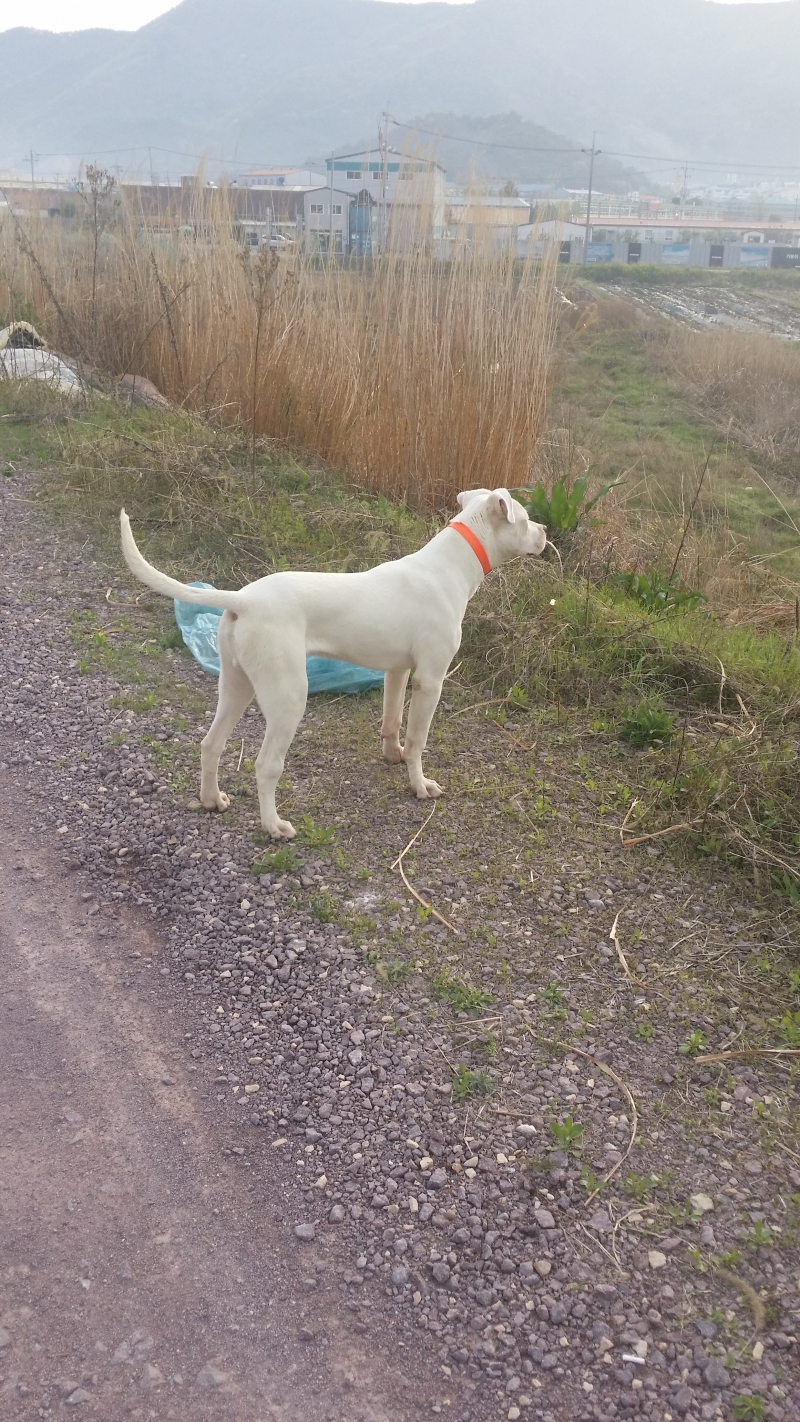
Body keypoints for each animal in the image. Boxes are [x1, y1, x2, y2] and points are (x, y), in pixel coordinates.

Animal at [120, 488, 546, 838]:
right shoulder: (431, 679)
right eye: (525, 519)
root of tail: (243, 599)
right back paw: (273, 825)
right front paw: (419, 784)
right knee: (266, 764)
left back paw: (212, 800)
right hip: (289, 697)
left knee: (211, 743)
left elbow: (392, 721)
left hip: (236, 685)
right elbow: (418, 739)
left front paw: (393, 755)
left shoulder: (397, 671)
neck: (451, 564)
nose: (544, 531)